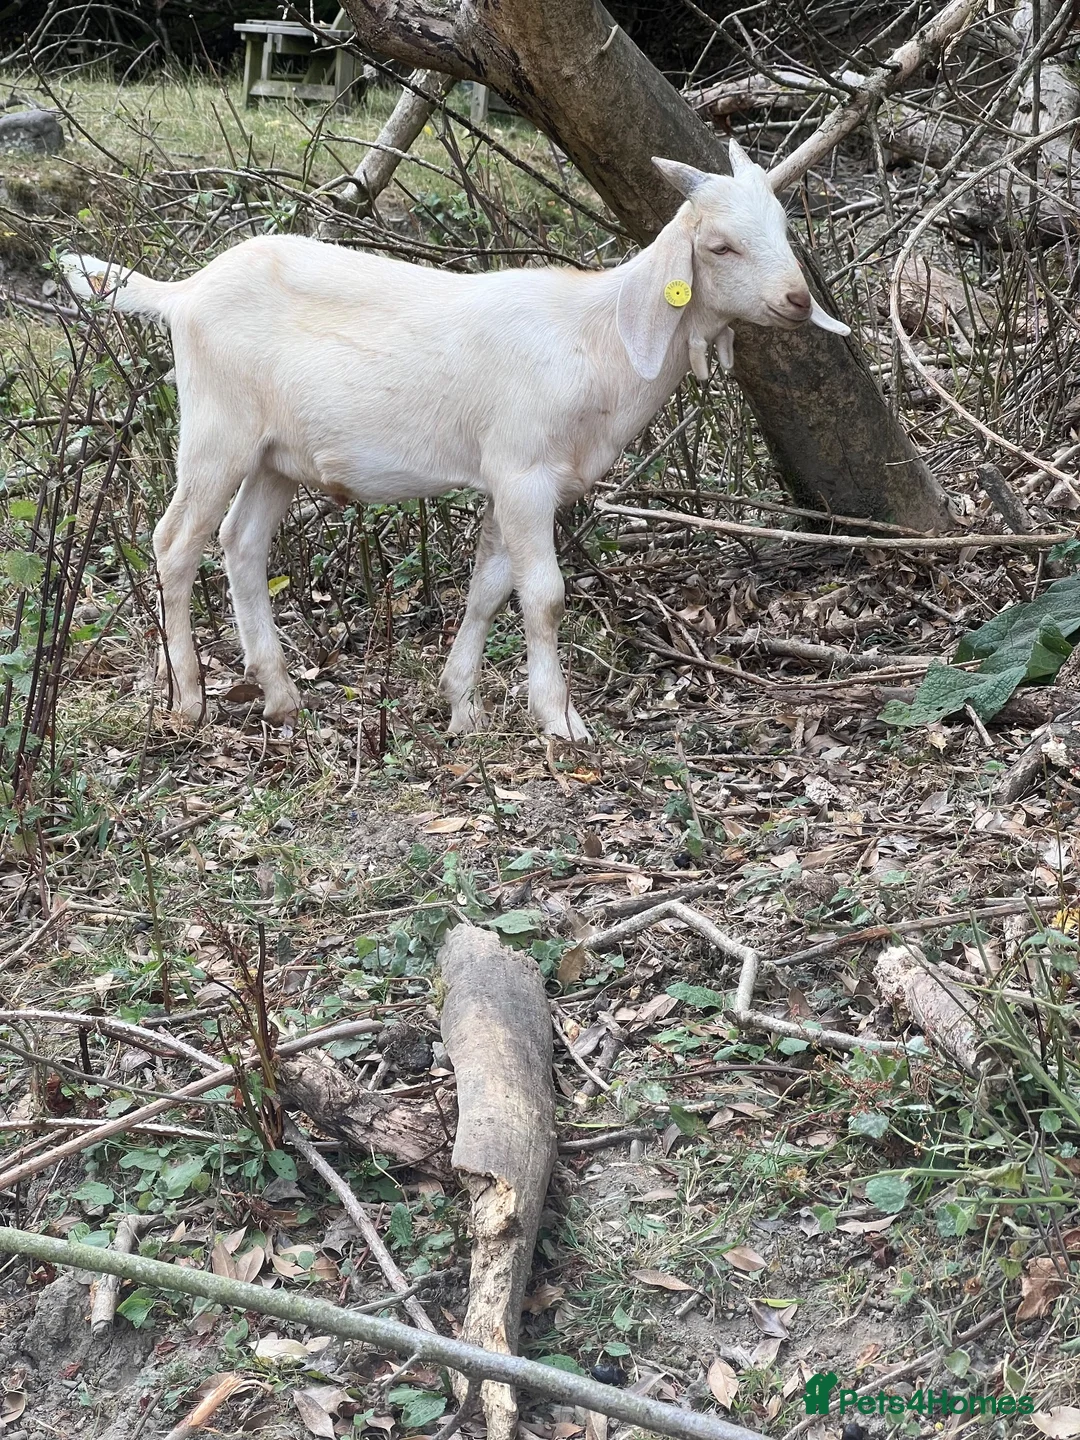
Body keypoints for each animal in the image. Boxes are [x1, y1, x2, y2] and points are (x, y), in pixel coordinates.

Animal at [62, 140, 849, 740]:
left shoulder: (510, 480)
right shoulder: (524, 471)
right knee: (174, 542)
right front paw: (560, 720)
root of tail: (184, 292)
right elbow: (544, 594)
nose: (796, 300)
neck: (595, 338)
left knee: (241, 542)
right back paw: (189, 700)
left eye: (784, 226)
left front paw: (461, 705)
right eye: (719, 245)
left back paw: (281, 696)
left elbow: (488, 589)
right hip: (217, 430)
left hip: (275, 456)